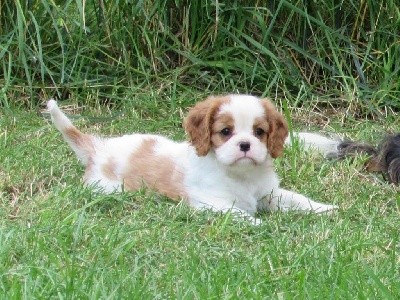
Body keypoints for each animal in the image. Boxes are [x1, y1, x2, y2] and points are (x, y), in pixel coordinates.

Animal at [48, 95, 340, 224]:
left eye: (259, 132)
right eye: (226, 132)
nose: (245, 145)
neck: (241, 175)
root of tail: (98, 147)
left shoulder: (270, 194)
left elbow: (298, 199)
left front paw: (325, 208)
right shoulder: (210, 203)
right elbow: (237, 213)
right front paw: (258, 223)